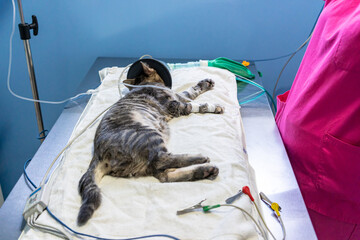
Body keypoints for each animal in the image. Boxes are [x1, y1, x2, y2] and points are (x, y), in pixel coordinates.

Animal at [77, 61, 225, 225]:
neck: (145, 84)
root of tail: (97, 154)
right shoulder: (175, 104)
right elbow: (195, 104)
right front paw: (213, 106)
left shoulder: (178, 96)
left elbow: (190, 91)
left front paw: (205, 83)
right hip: (149, 135)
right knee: (162, 160)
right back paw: (200, 158)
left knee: (164, 175)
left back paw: (204, 171)